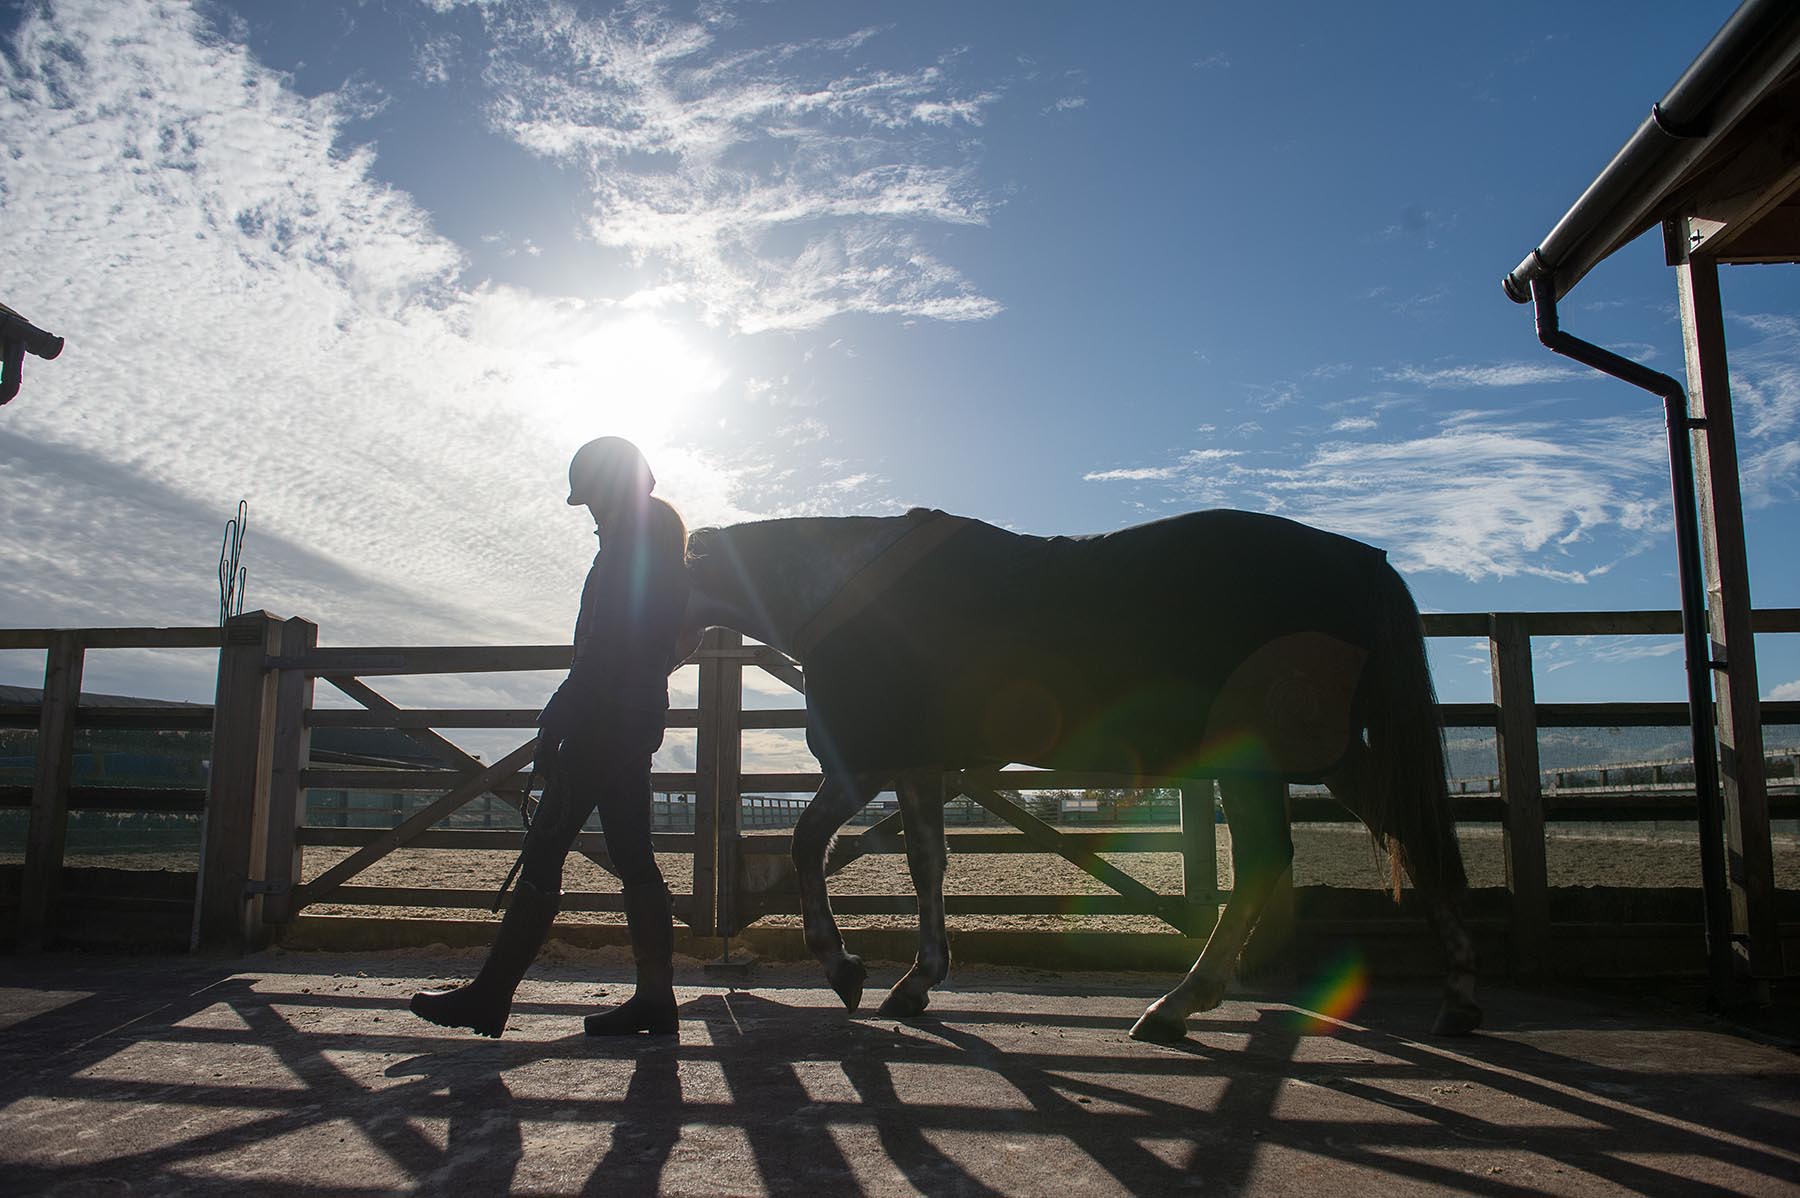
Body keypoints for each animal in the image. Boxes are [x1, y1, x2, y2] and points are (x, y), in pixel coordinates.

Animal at [680, 507, 1482, 1042]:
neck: (840, 587)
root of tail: (1365, 564)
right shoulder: (918, 764)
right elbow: (926, 862)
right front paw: (918, 980)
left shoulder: (868, 760)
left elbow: (807, 843)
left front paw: (842, 967)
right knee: (1337, 846)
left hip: (1275, 755)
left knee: (1363, 841)